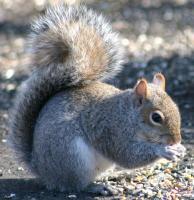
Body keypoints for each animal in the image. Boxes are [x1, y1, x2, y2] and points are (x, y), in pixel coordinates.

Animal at [9, 3, 186, 193]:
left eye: (177, 109)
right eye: (156, 117)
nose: (176, 140)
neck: (128, 115)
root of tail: (41, 169)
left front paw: (180, 148)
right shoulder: (112, 130)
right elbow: (128, 155)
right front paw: (165, 151)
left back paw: (116, 175)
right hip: (73, 157)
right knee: (75, 185)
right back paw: (96, 187)